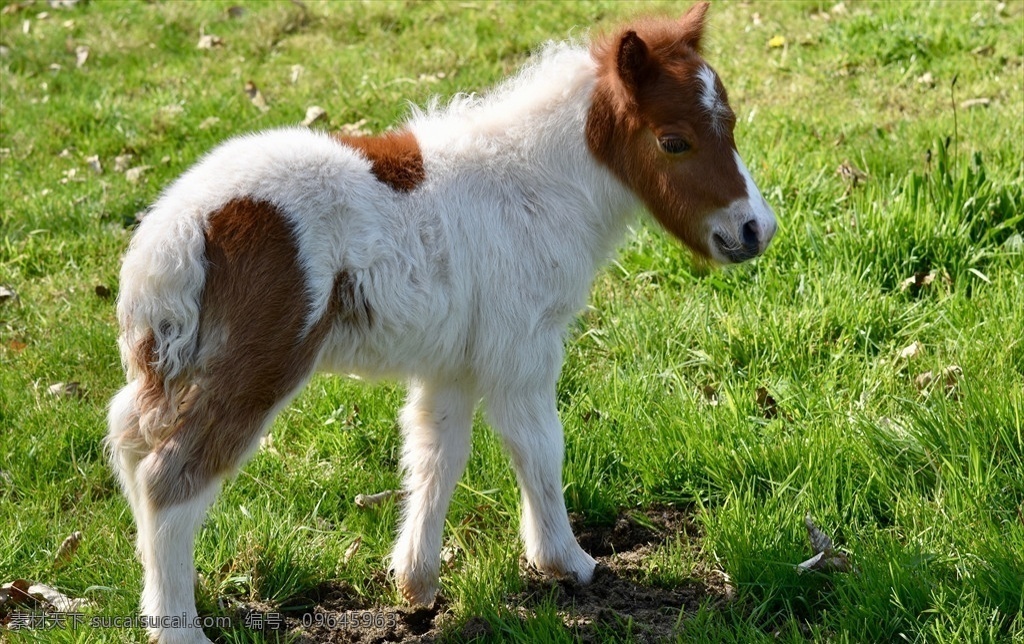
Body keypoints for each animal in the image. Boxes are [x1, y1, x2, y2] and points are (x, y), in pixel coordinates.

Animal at [106, 3, 776, 641]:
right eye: (673, 141)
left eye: (731, 125)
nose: (755, 230)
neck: (534, 185)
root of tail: (180, 230)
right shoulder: (522, 347)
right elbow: (538, 444)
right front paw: (567, 563)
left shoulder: (452, 362)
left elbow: (437, 452)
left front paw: (417, 584)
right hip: (257, 366)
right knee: (170, 478)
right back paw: (182, 631)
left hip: (172, 365)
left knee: (131, 445)